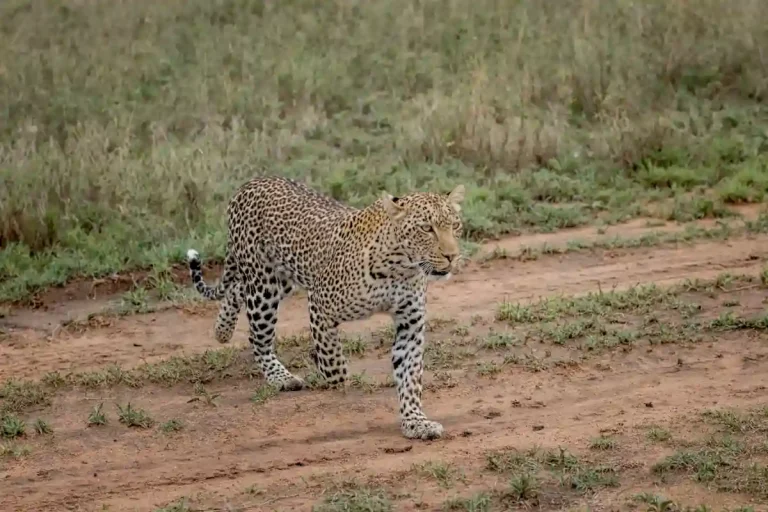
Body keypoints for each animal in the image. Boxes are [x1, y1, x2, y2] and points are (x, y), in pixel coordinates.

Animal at [186, 175, 465, 440]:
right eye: (426, 229)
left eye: (455, 225)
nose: (452, 256)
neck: (401, 268)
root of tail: (250, 183)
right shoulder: (320, 302)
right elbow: (333, 362)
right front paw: (330, 371)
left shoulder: (410, 324)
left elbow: (410, 377)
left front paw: (415, 422)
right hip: (264, 285)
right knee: (257, 335)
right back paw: (281, 377)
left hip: (282, 278)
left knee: (236, 289)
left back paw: (222, 329)